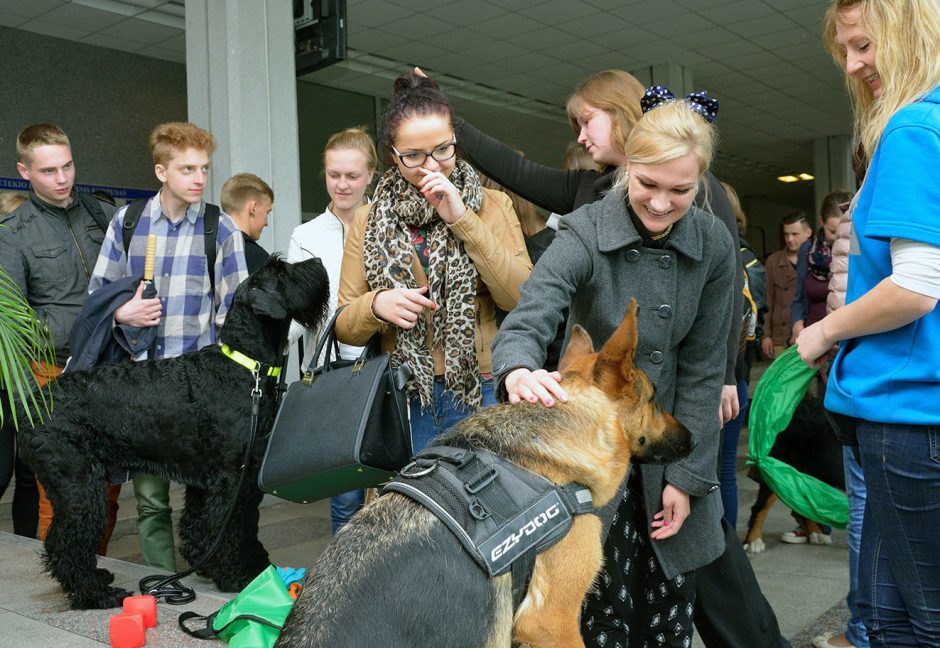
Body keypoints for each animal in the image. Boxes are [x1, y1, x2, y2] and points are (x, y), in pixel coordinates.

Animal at [17, 256, 330, 608]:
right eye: (281, 271)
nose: (318, 260)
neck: (246, 367)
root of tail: (30, 406)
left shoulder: (214, 481)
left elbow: (210, 525)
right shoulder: (232, 479)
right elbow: (232, 527)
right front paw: (238, 577)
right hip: (79, 486)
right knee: (65, 542)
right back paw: (96, 594)